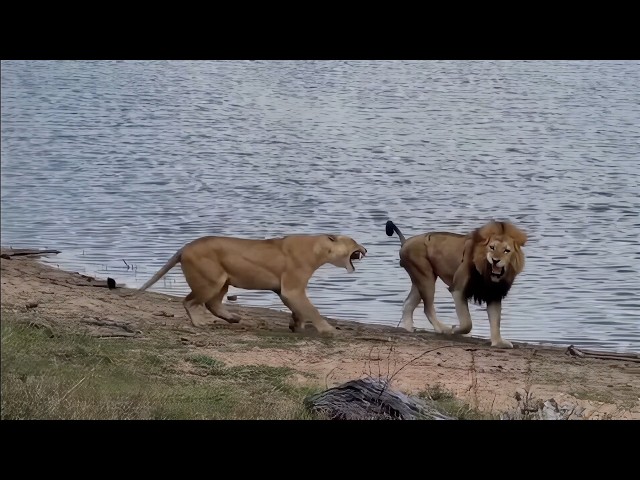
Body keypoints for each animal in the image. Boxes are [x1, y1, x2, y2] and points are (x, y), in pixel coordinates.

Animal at [138, 234, 367, 334]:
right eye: (354, 242)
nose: (365, 249)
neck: (319, 248)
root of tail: (185, 246)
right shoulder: (292, 288)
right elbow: (312, 309)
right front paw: (328, 329)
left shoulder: (283, 290)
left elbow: (298, 309)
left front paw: (296, 325)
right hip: (211, 281)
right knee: (189, 301)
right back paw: (199, 323)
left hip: (223, 281)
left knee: (212, 303)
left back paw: (233, 318)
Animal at [385, 219, 527, 348]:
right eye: (492, 247)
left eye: (506, 251)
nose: (495, 260)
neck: (487, 273)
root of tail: (405, 242)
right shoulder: (458, 289)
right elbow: (467, 323)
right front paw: (455, 329)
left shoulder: (494, 294)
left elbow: (495, 321)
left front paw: (498, 342)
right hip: (426, 277)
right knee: (427, 308)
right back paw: (443, 329)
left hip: (420, 279)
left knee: (408, 304)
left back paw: (409, 329)